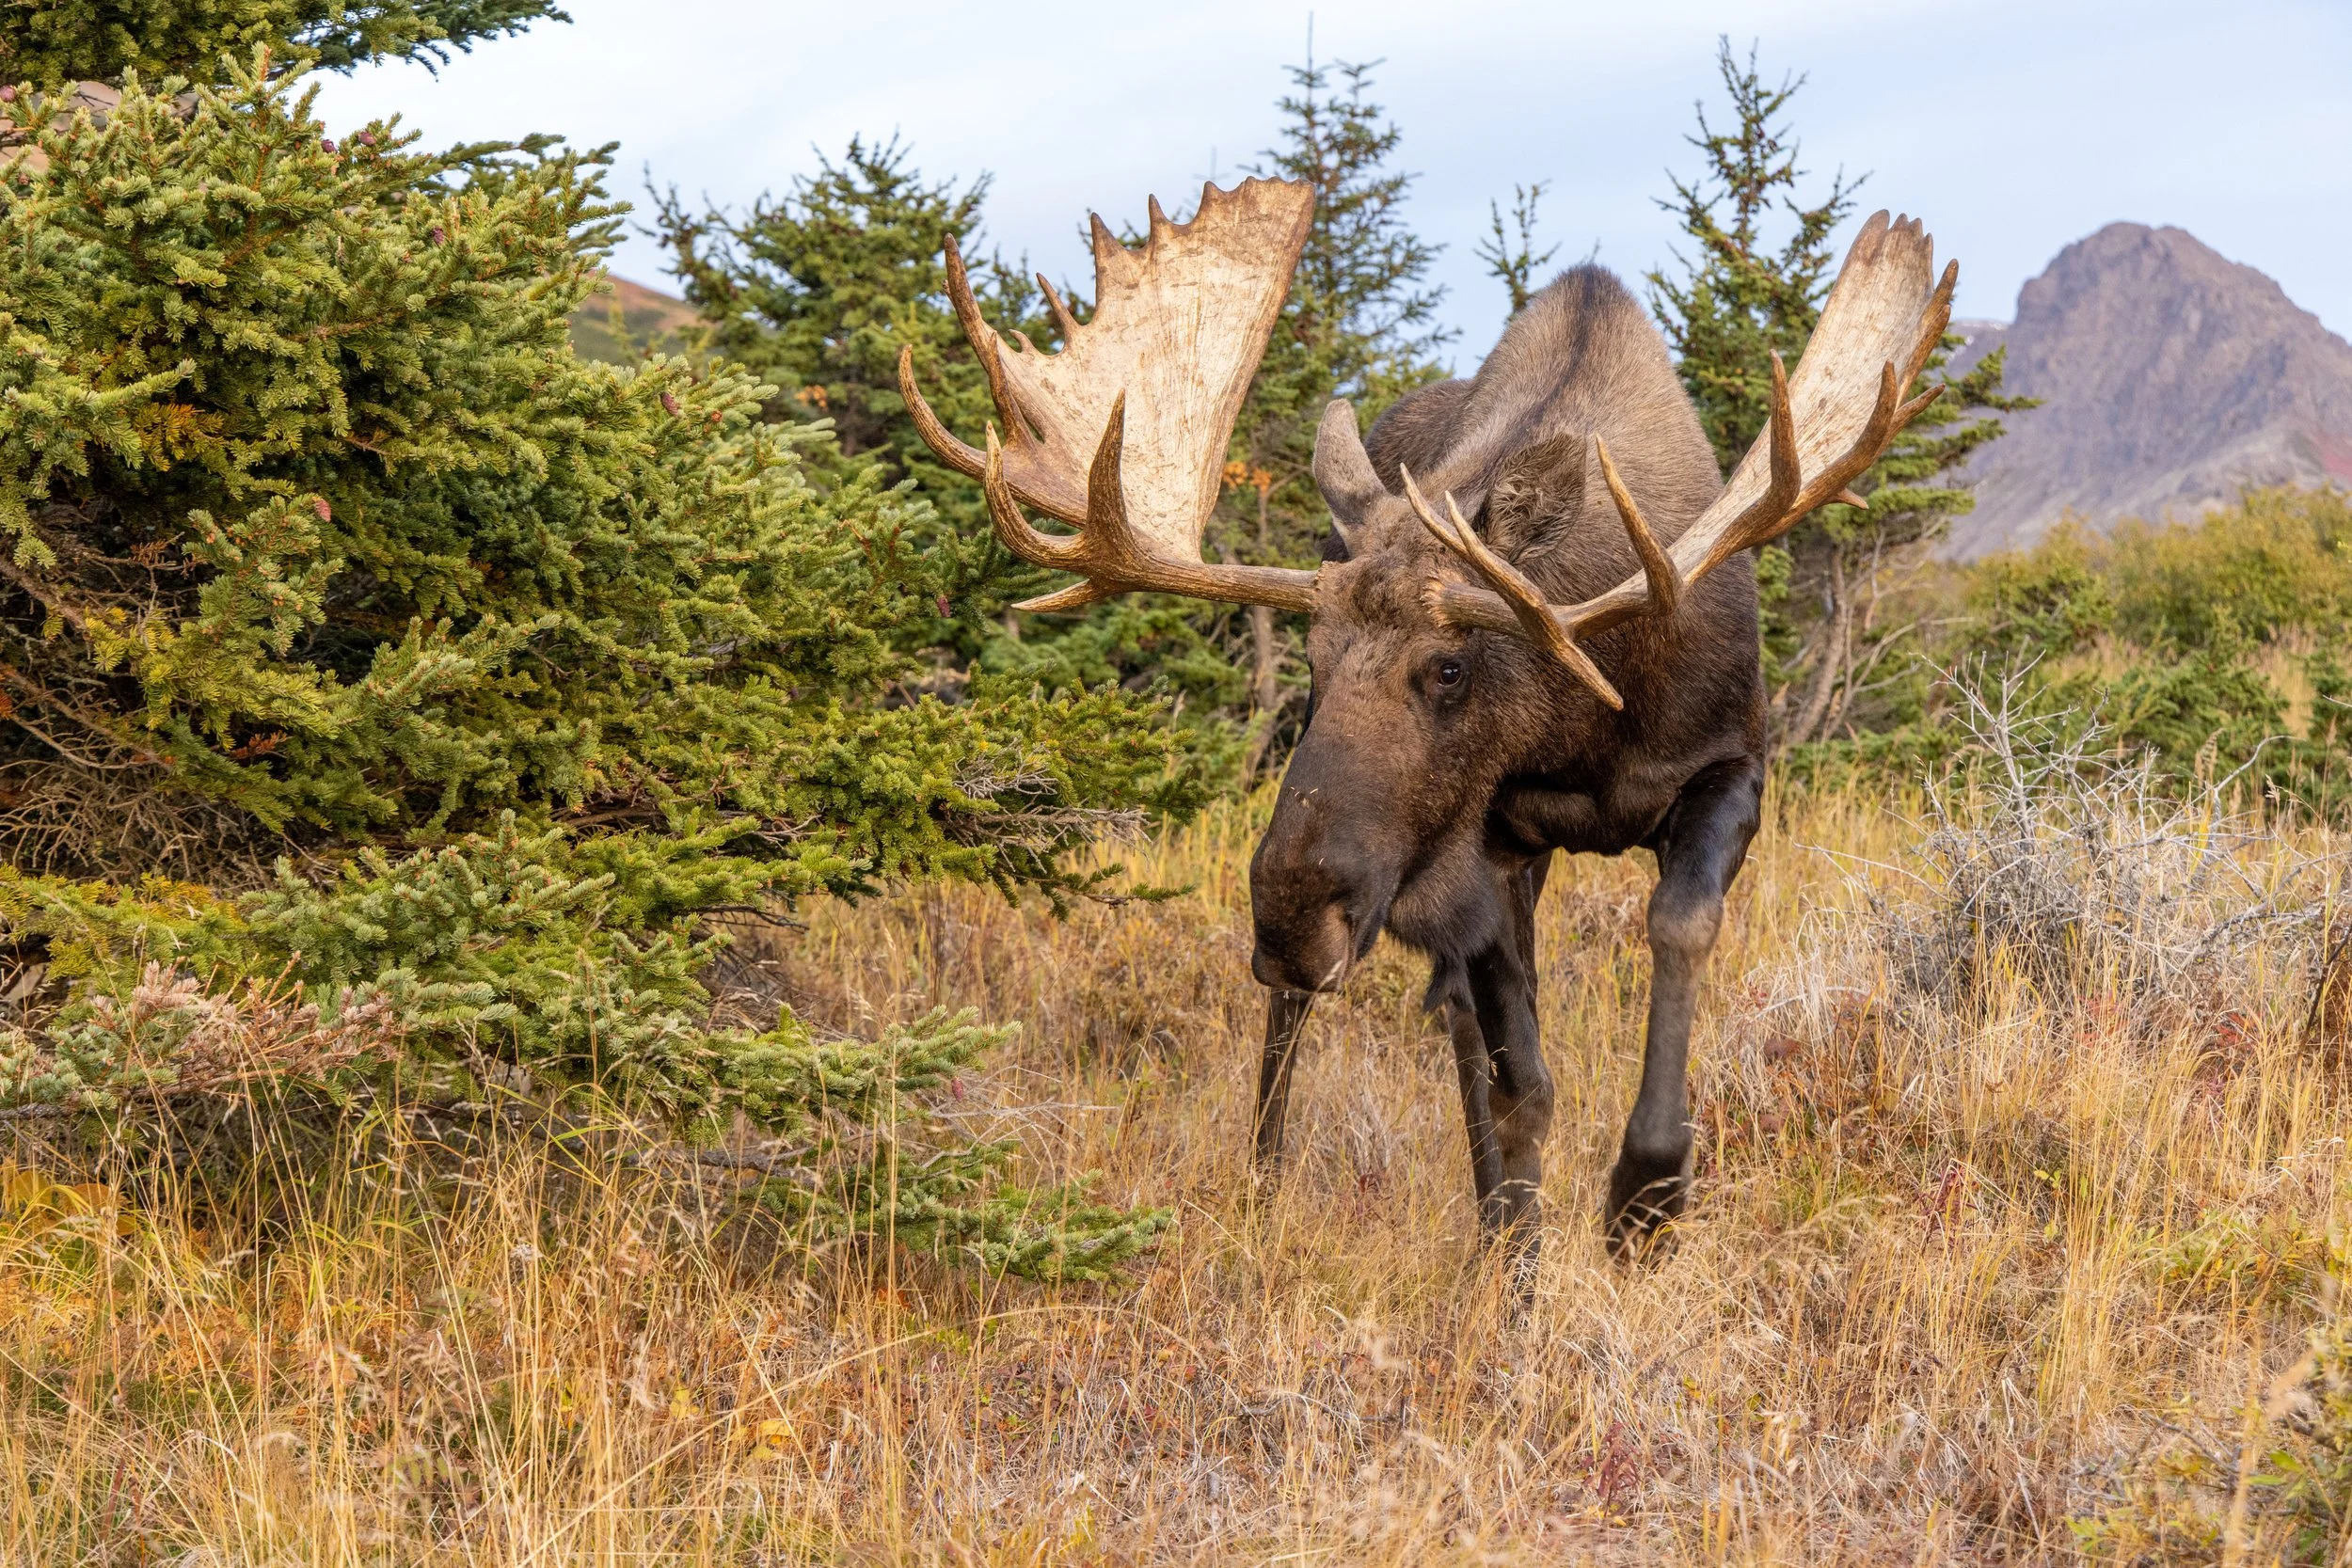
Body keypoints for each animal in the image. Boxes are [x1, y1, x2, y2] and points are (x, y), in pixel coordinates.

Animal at [899, 176, 1953, 1268]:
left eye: (1448, 667)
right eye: (1313, 659)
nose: (1290, 913)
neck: (1587, 718)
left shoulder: (1729, 765)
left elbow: (1678, 925)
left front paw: (1647, 1190)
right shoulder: (1479, 845)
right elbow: (1517, 1082)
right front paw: (1518, 1258)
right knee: (1348, 1029)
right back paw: (1274, 1183)